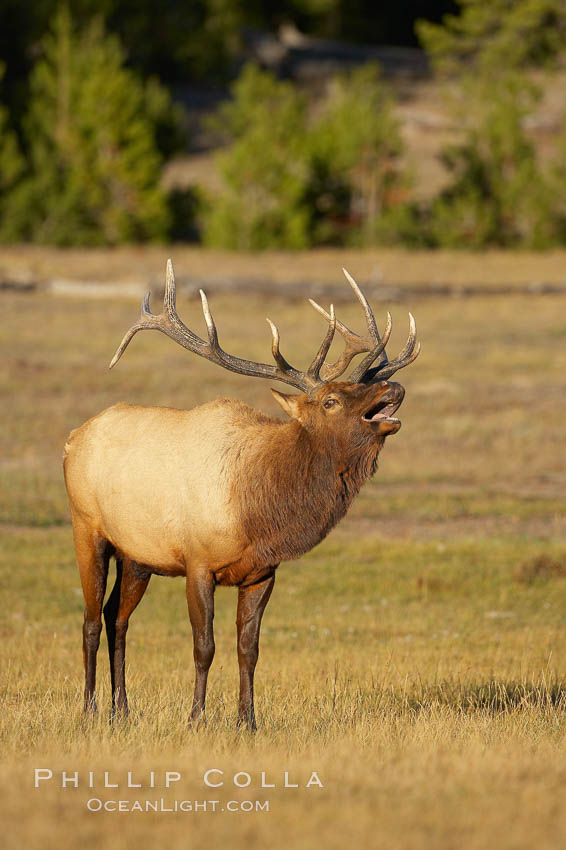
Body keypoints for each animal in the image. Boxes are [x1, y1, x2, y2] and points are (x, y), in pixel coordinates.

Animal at [64, 260, 424, 728]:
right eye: (330, 399)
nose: (393, 388)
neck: (257, 510)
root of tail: (73, 438)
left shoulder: (261, 573)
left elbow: (248, 650)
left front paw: (248, 721)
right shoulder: (198, 563)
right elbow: (204, 647)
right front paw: (196, 718)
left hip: (137, 555)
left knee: (116, 618)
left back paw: (121, 710)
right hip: (86, 527)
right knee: (90, 619)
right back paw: (90, 710)